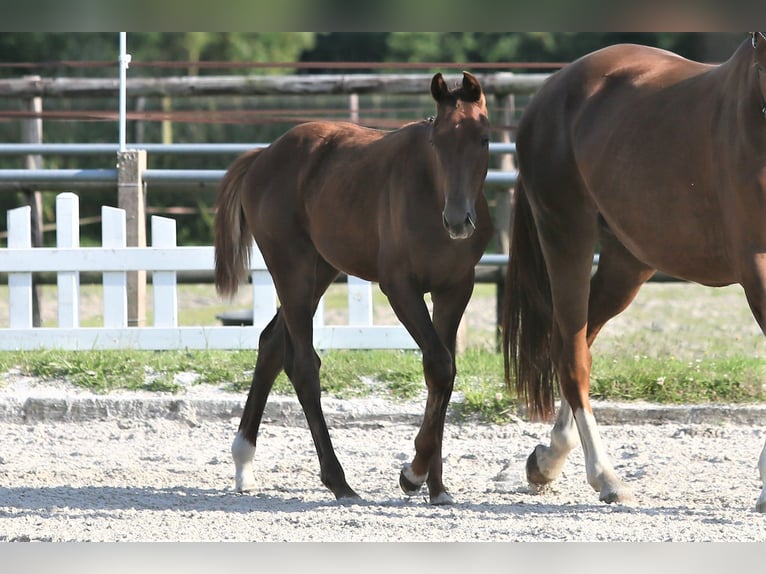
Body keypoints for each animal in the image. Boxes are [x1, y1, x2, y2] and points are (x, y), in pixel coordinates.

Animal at [214, 71, 492, 504]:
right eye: (437, 142)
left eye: (483, 138)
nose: (458, 220)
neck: (431, 193)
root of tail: (263, 156)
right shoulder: (400, 288)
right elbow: (438, 364)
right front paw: (412, 474)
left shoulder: (455, 288)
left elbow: (444, 374)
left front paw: (437, 486)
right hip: (292, 270)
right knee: (302, 364)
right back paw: (338, 481)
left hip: (321, 270)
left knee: (271, 344)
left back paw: (244, 462)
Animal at [502, 33, 766, 512]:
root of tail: (551, 89)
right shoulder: (757, 266)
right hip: (566, 235)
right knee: (572, 354)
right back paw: (605, 477)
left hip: (627, 262)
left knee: (578, 340)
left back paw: (548, 459)